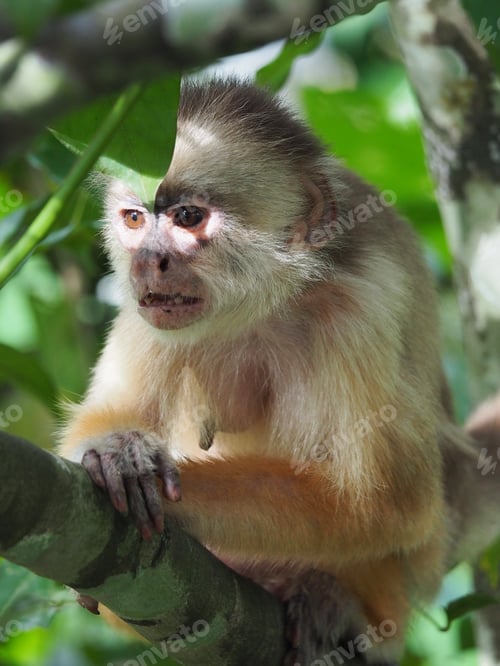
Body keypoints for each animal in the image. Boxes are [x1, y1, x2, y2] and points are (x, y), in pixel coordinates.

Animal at [58, 78, 489, 665]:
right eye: (134, 219)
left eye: (188, 218)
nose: (148, 259)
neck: (261, 303)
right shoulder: (144, 308)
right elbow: (92, 428)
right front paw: (116, 453)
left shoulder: (355, 312)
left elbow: (387, 507)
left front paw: (179, 500)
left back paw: (326, 596)